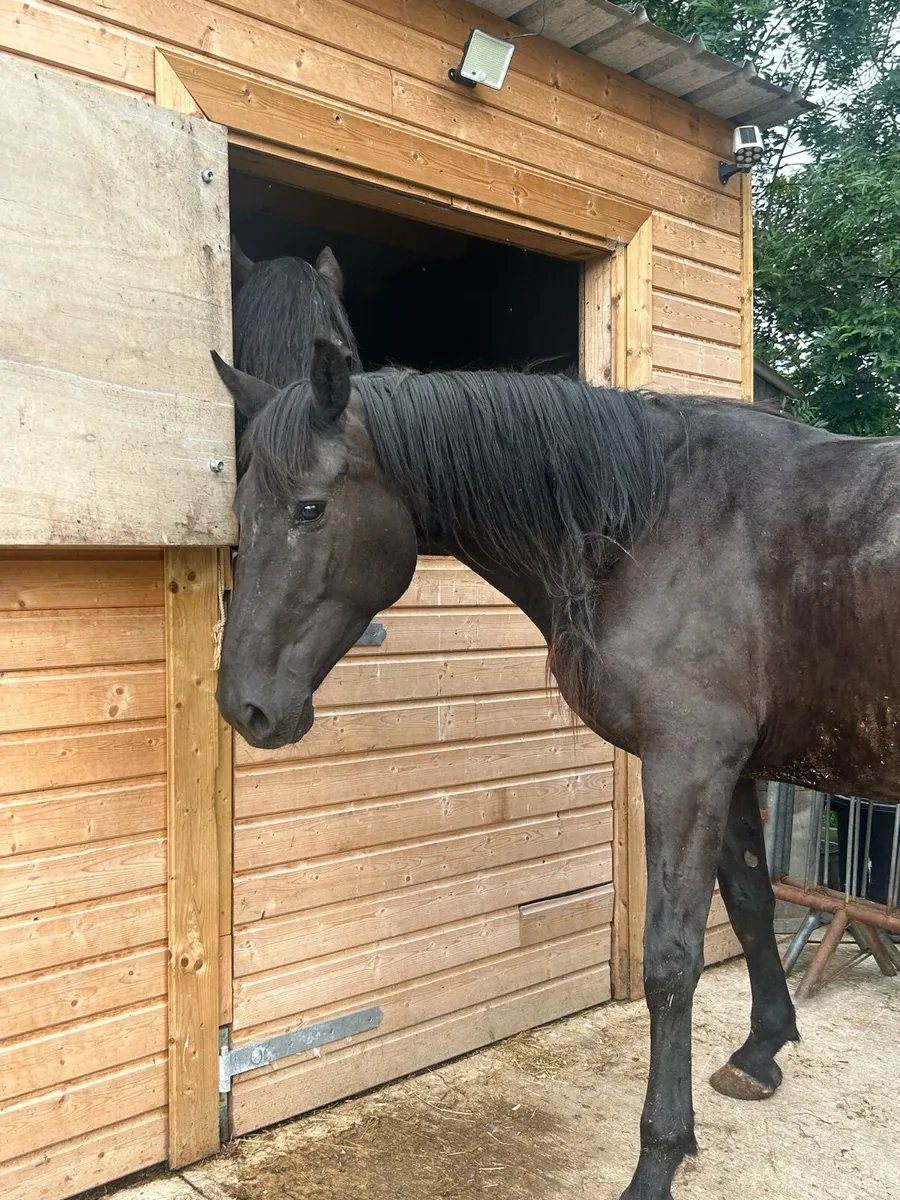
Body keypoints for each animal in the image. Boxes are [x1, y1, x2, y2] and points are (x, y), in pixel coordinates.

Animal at [209, 338, 900, 1199]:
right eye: (243, 508)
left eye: (309, 509)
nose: (244, 707)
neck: (659, 522)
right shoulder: (731, 767)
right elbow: (746, 902)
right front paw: (760, 1051)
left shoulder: (687, 763)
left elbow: (672, 962)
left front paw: (657, 1159)